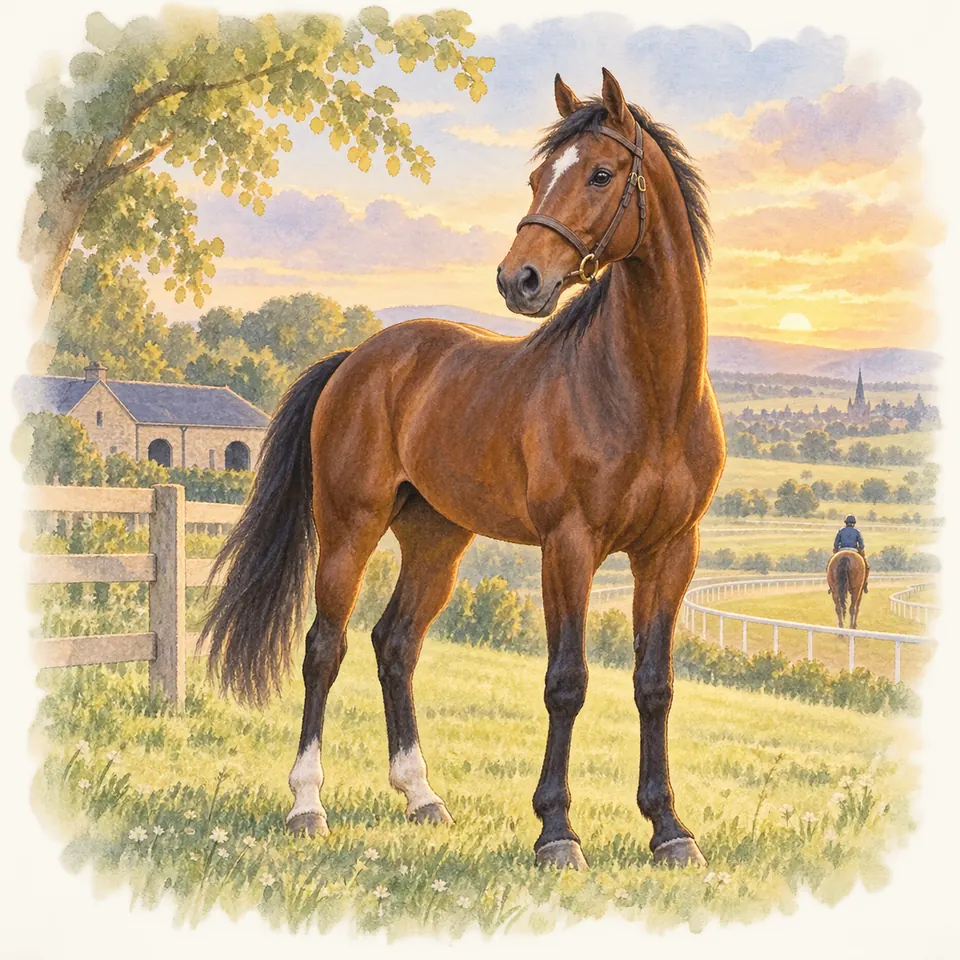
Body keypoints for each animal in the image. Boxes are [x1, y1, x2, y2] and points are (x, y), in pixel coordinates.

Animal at [202, 69, 725, 872]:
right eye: (539, 177)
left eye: (601, 174)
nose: (521, 280)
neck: (649, 392)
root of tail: (358, 360)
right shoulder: (567, 547)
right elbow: (566, 683)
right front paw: (556, 832)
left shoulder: (671, 552)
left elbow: (654, 686)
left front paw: (669, 829)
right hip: (348, 528)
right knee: (325, 647)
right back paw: (307, 804)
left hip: (437, 540)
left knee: (395, 645)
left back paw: (421, 796)